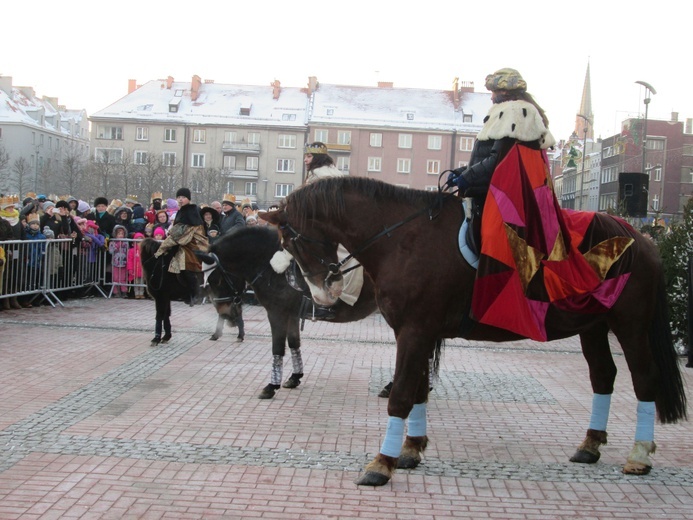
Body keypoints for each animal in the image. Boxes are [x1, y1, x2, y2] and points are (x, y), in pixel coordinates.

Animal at [203, 226, 382, 398]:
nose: (225, 314)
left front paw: (272, 386)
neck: (270, 267)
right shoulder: (292, 314)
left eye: (216, 280)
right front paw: (295, 377)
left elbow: (278, 347)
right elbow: (294, 343)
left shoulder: (277, 313)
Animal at [264, 178, 688, 488]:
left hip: (629, 324)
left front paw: (382, 463)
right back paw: (590, 444)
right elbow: (418, 390)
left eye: (291, 241)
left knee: (644, 378)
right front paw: (412, 449)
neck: (402, 238)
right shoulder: (420, 331)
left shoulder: (415, 331)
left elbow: (401, 397)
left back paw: (639, 454)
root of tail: (641, 237)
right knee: (603, 376)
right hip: (593, 325)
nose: (323, 294)